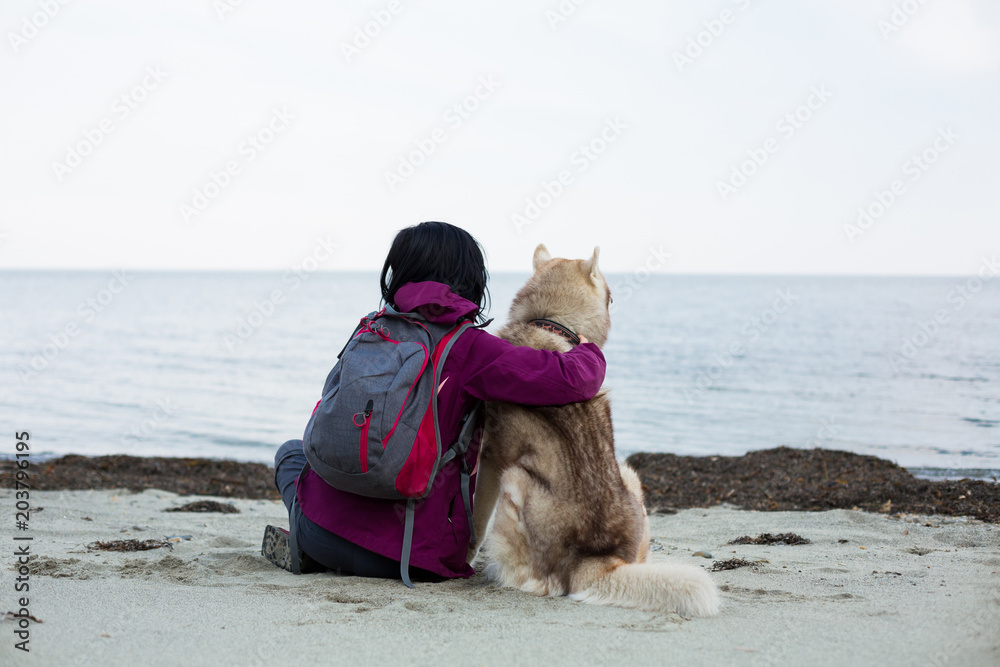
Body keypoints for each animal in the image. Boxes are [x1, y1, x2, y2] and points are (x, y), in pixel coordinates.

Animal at [467, 244, 720, 617]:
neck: (552, 323)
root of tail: (596, 560)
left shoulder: (490, 459)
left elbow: (475, 521)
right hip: (629, 476)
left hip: (514, 478)